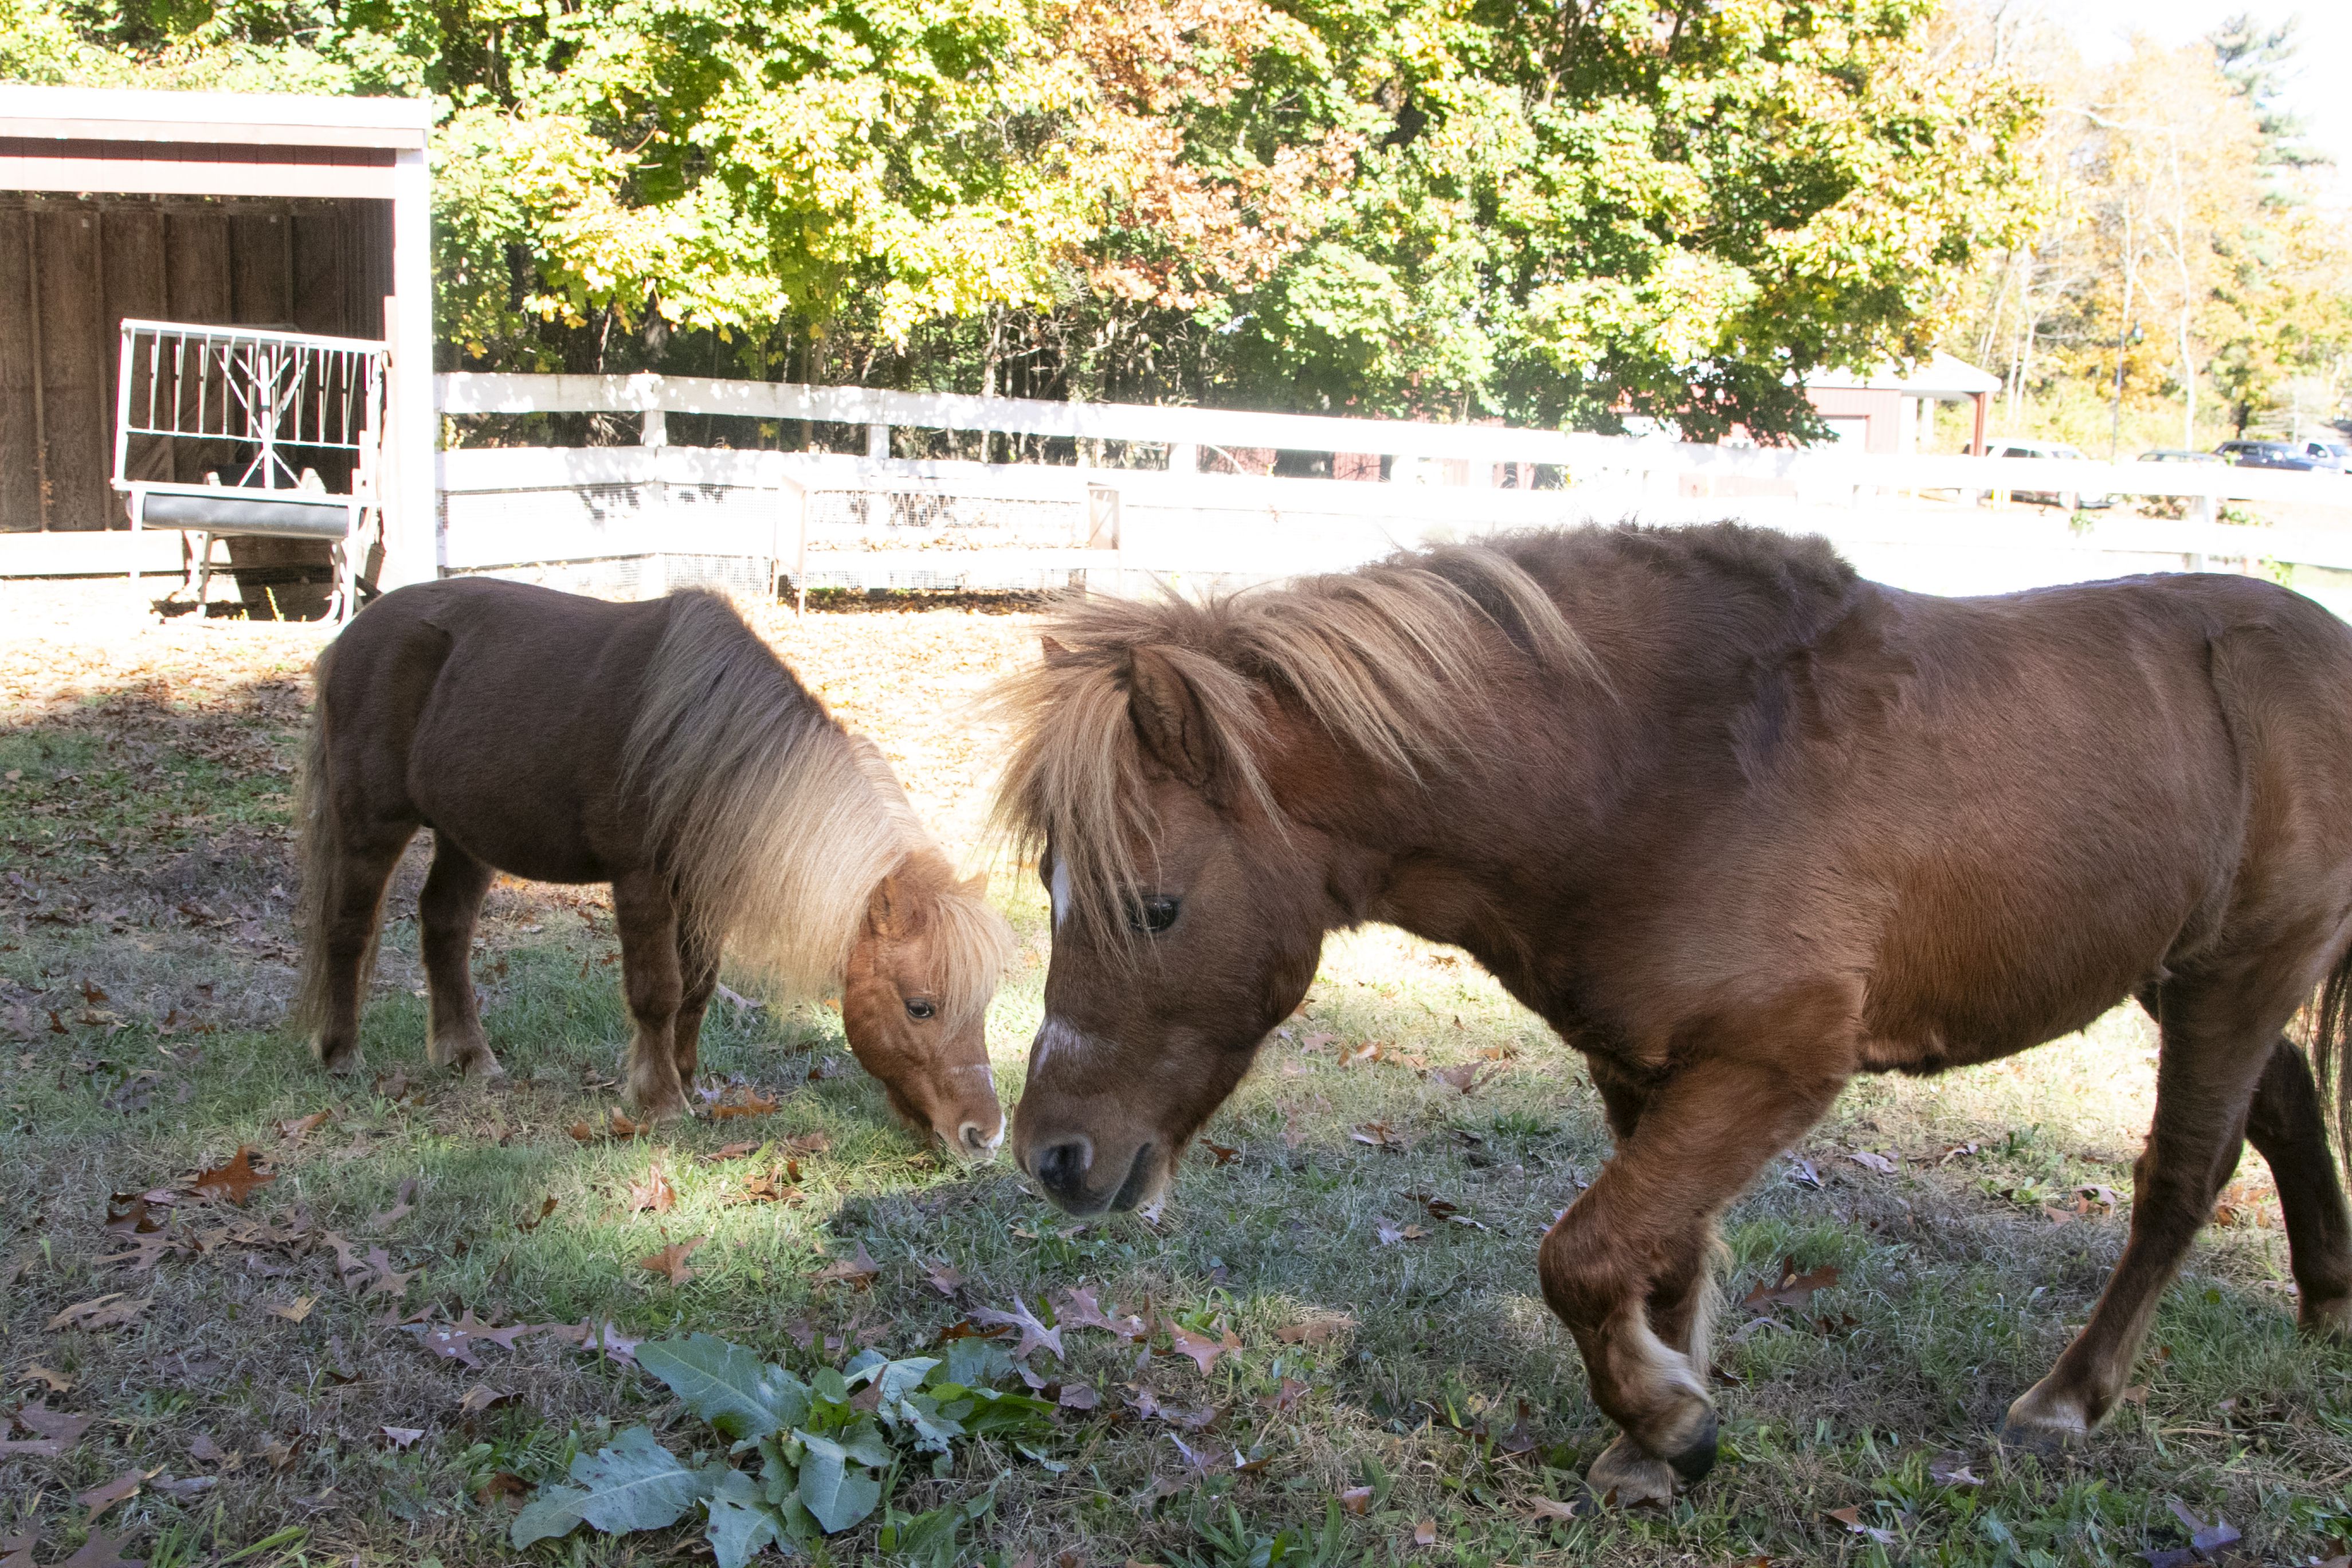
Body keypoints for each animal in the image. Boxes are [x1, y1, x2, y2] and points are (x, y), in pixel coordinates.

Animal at [289, 575, 1016, 1151]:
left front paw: (688, 1080)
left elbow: (697, 988)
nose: (984, 1136)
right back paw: (341, 1055)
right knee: (348, 929)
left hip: (467, 837)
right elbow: (657, 991)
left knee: (444, 927)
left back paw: (469, 1057)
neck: (707, 744)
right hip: (372, 827)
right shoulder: (641, 881)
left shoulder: (698, 888)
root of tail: (353, 636)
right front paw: (661, 1099)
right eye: (921, 1007)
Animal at [992, 531, 2352, 1504]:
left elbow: (1584, 1255)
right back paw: (2327, 1305)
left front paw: (1672, 1423)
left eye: (1155, 907)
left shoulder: (1771, 1063)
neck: (1646, 769)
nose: (1053, 1158)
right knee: (2287, 1107)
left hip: (2235, 977)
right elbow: (1664, 1251)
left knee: (2180, 1180)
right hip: (2187, 976)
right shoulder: (1644, 1066)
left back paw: (2066, 1402)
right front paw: (1656, 1426)